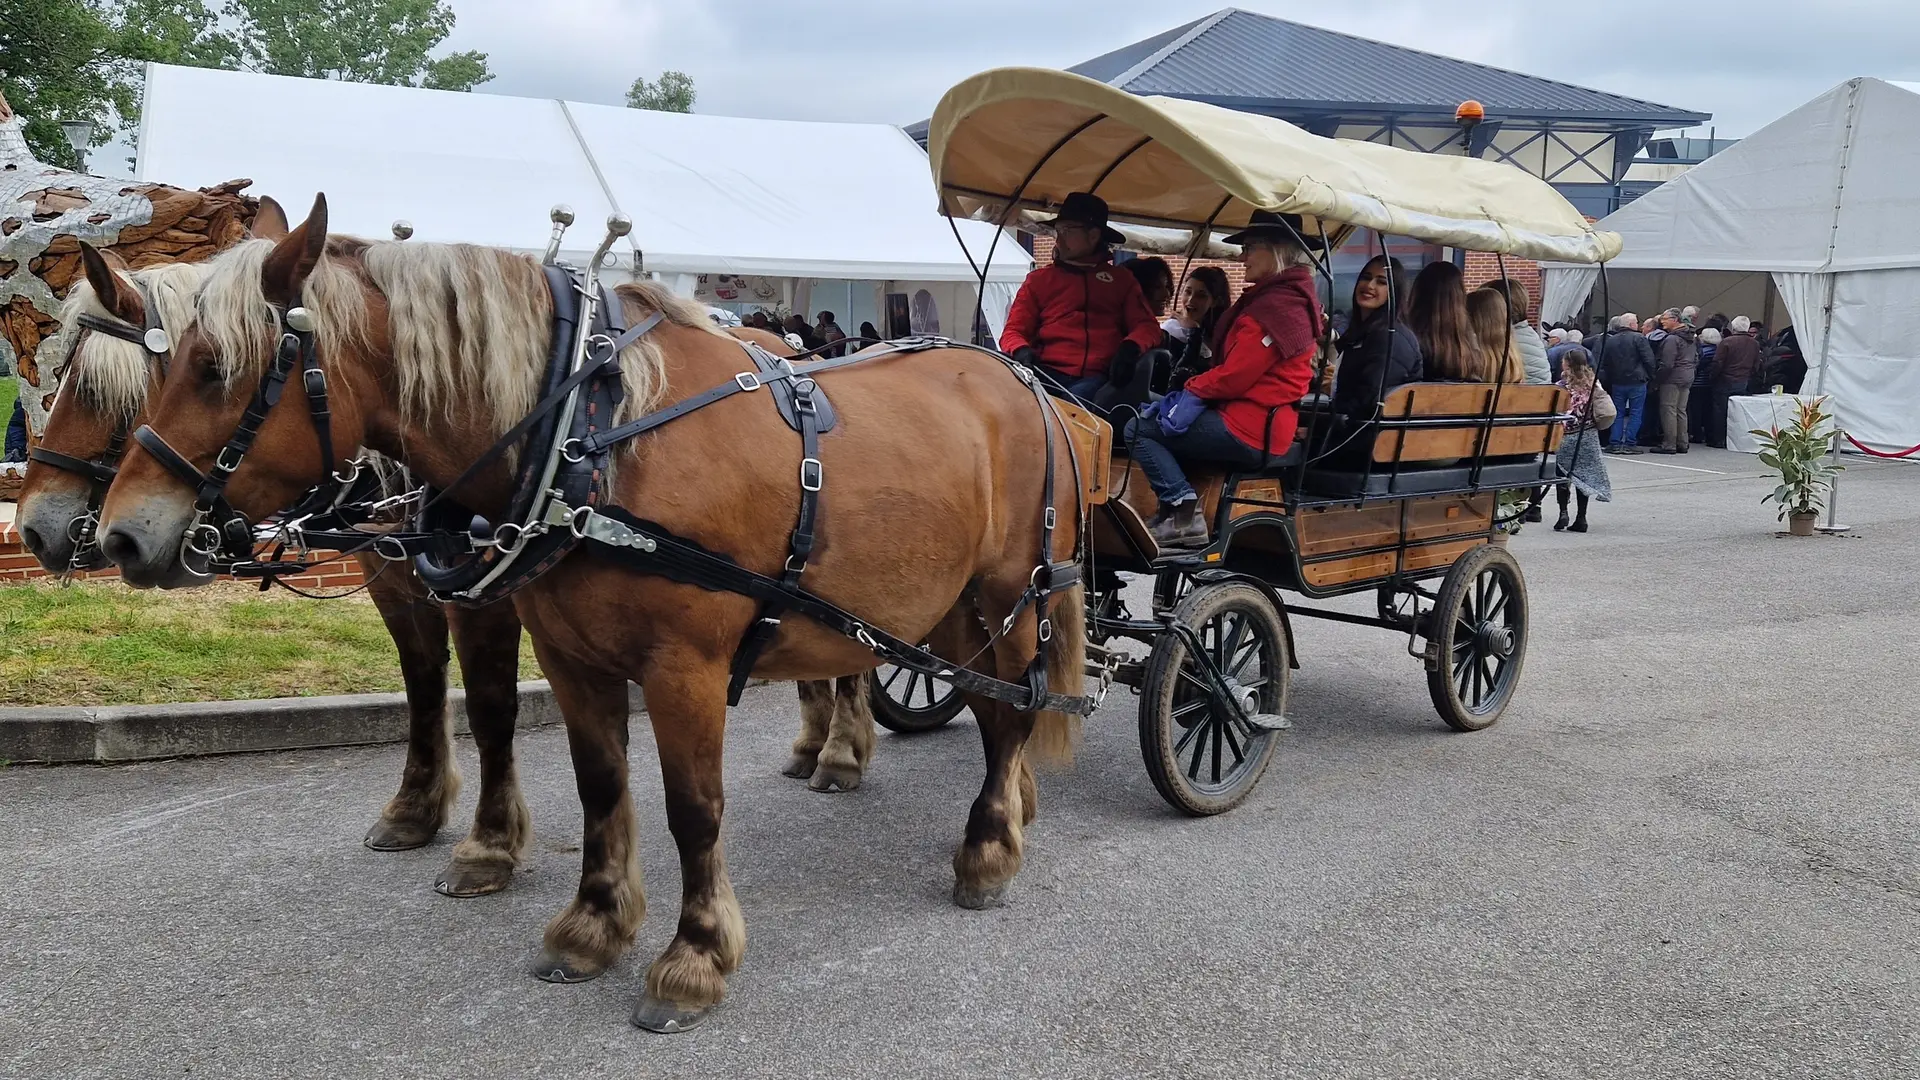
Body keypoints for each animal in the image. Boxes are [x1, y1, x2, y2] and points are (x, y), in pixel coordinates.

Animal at [93, 193, 1082, 1022]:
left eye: (215, 367)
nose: (120, 538)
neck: (594, 438)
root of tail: (1021, 383)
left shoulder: (684, 668)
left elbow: (694, 808)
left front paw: (694, 959)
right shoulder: (570, 655)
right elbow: (601, 785)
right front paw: (592, 927)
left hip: (1012, 593)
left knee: (1010, 715)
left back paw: (988, 848)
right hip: (948, 606)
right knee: (994, 707)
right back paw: (1005, 813)